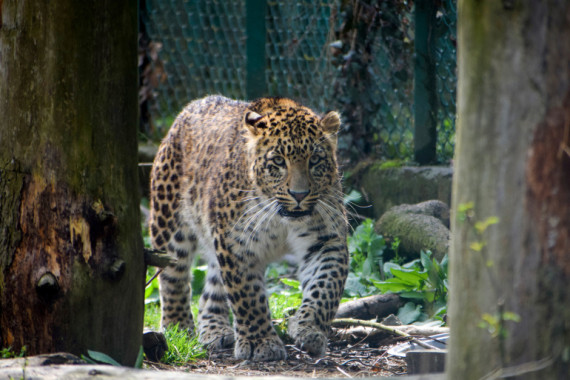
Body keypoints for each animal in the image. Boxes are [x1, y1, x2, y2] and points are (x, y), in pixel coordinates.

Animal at [149, 95, 348, 362]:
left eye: (315, 160)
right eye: (278, 161)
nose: (299, 195)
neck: (281, 219)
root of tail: (191, 106)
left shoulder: (326, 240)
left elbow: (325, 287)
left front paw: (309, 329)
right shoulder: (237, 244)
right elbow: (247, 296)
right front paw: (260, 343)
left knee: (211, 288)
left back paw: (215, 329)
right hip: (169, 224)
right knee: (173, 276)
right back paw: (178, 327)